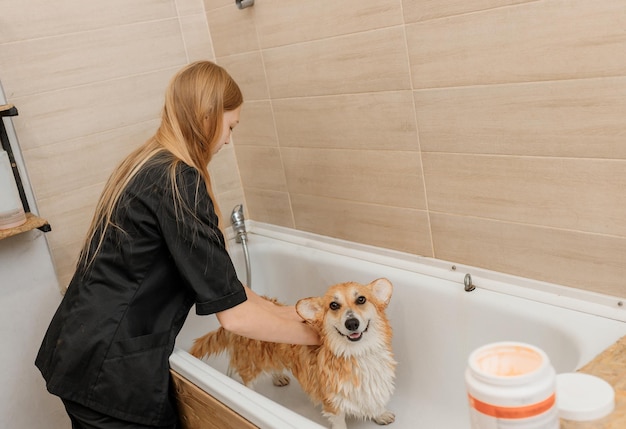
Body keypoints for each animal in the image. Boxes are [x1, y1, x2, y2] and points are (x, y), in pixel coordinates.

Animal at [189, 276, 394, 426]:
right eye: (333, 305)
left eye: (361, 299)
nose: (352, 323)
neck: (358, 352)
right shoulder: (333, 404)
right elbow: (339, 422)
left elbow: (374, 402)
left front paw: (380, 415)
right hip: (252, 361)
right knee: (246, 379)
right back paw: (250, 394)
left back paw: (278, 377)